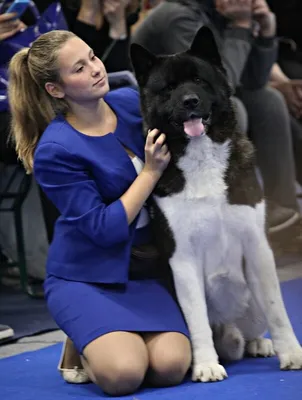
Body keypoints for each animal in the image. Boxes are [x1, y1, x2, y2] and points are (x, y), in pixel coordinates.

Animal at [131, 26, 302, 382]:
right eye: (168, 88)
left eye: (199, 80)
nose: (190, 101)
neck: (202, 156)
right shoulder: (182, 258)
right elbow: (196, 319)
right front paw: (206, 365)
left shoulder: (256, 246)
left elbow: (278, 309)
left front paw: (292, 353)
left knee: (254, 324)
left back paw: (257, 343)